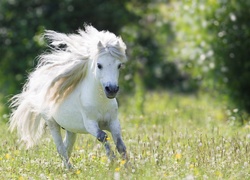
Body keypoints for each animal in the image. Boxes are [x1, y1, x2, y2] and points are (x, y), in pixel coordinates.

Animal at [9, 24, 128, 168]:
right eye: (99, 65)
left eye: (119, 65)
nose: (111, 89)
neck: (100, 102)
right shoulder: (90, 124)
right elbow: (103, 136)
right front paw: (112, 160)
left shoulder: (113, 122)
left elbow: (120, 144)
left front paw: (127, 166)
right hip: (52, 124)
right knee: (61, 148)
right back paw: (69, 168)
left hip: (71, 129)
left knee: (67, 147)